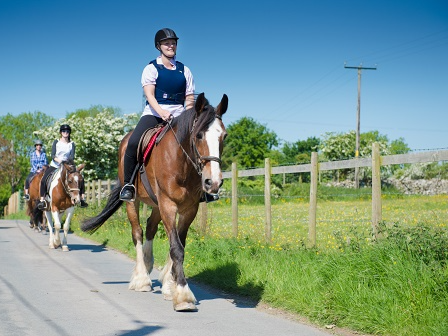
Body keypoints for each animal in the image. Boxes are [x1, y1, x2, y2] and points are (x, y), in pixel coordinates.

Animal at [80, 92, 228, 312]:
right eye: (199, 135)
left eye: (223, 136)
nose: (214, 182)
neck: (181, 163)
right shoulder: (168, 204)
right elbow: (176, 248)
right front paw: (183, 295)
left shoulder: (189, 209)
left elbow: (179, 243)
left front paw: (171, 286)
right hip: (133, 201)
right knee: (138, 233)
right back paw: (141, 279)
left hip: (157, 204)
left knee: (150, 227)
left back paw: (151, 268)